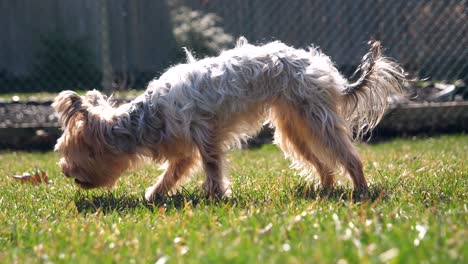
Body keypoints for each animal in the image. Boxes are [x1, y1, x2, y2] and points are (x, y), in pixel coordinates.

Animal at [53, 37, 406, 200]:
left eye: (70, 152)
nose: (65, 171)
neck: (147, 118)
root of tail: (327, 71)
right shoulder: (183, 149)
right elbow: (173, 172)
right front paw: (155, 194)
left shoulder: (205, 135)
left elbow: (211, 165)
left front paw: (214, 194)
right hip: (293, 127)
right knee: (323, 163)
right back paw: (325, 187)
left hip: (316, 120)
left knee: (348, 156)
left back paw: (361, 190)